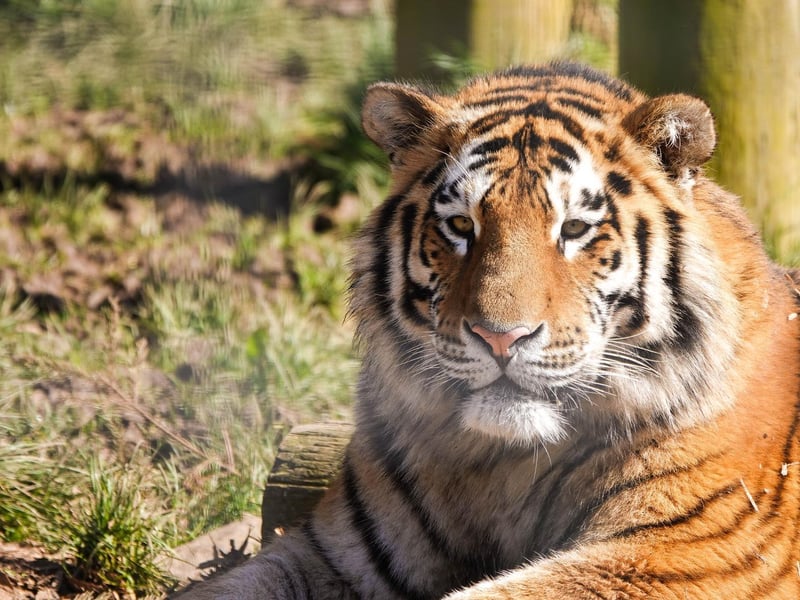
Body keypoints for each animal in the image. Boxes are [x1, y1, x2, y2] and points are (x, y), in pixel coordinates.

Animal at [183, 62, 800, 599]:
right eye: (461, 225)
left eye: (574, 229)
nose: (501, 337)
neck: (501, 466)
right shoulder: (334, 551)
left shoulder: (687, 552)